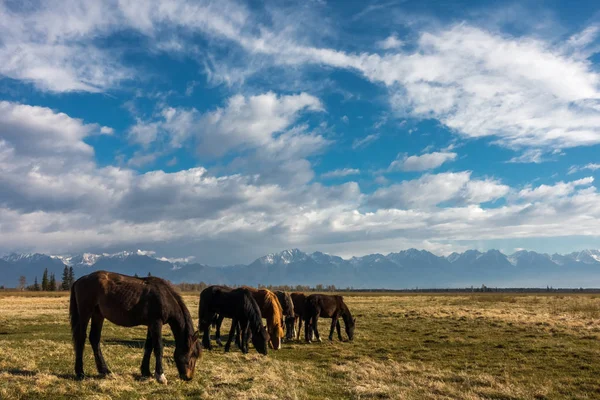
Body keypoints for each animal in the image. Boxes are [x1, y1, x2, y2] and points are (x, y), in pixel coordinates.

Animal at [69, 272, 202, 384]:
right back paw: (80, 373)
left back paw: (105, 371)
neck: (165, 297)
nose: (188, 377)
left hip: (98, 315)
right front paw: (160, 376)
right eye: (192, 355)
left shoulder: (151, 324)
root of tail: (80, 280)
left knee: (94, 338)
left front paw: (146, 372)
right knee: (81, 338)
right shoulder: (156, 323)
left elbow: (149, 346)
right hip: (86, 313)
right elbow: (158, 347)